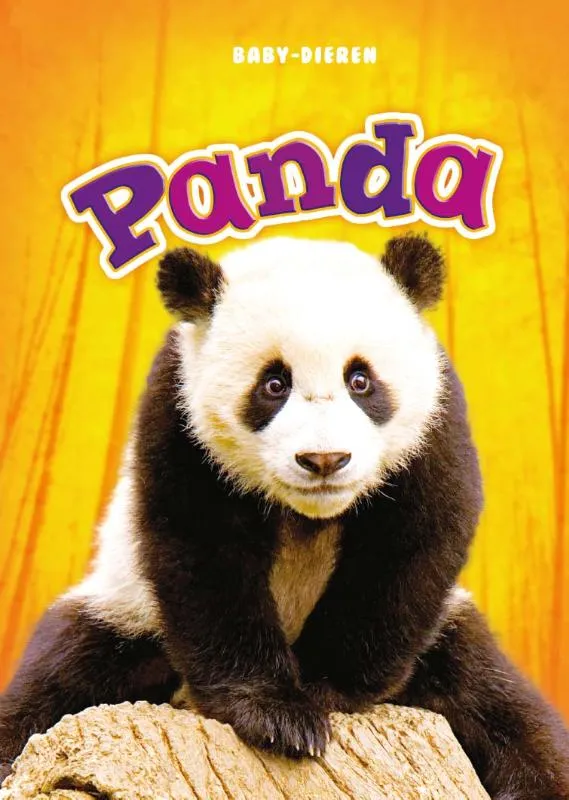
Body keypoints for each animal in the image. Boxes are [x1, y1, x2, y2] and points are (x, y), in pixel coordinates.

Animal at [1, 234, 568, 798]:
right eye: (273, 384)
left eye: (360, 380)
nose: (324, 460)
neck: (310, 513)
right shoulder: (179, 419)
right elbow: (203, 558)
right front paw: (280, 717)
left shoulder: (434, 421)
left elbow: (409, 549)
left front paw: (323, 690)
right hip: (125, 610)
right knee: (57, 681)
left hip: (449, 639)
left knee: (505, 714)